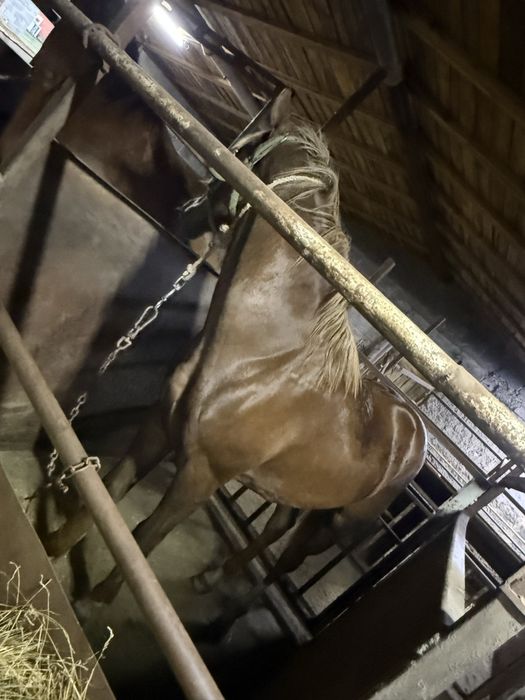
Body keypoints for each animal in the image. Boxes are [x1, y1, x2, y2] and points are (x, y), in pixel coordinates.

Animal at [43, 104, 427, 618]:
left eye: (240, 146)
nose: (183, 206)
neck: (261, 359)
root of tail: (414, 430)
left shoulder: (202, 474)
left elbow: (146, 534)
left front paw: (95, 601)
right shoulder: (159, 425)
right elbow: (110, 489)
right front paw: (53, 547)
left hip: (335, 524)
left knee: (291, 556)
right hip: (299, 488)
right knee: (278, 524)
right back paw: (210, 577)